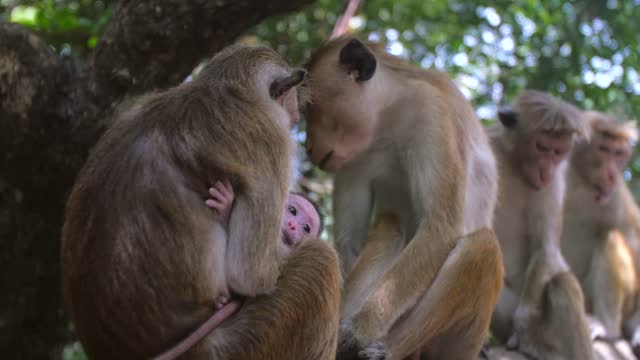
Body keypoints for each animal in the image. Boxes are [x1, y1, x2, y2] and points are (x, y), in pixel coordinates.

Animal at [60, 43, 342, 358]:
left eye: (304, 225)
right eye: (292, 211)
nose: (293, 227)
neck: (223, 89)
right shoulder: (272, 140)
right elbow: (250, 275)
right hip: (242, 347)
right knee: (321, 259)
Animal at [490, 90, 596, 360]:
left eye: (559, 151)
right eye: (542, 147)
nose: (546, 169)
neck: (515, 164)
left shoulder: (555, 180)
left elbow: (545, 246)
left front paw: (523, 322)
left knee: (561, 283)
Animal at [560, 111, 640, 344]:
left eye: (619, 153)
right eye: (604, 149)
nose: (612, 174)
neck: (579, 182)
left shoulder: (615, 196)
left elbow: (635, 240)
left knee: (610, 237)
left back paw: (606, 327)